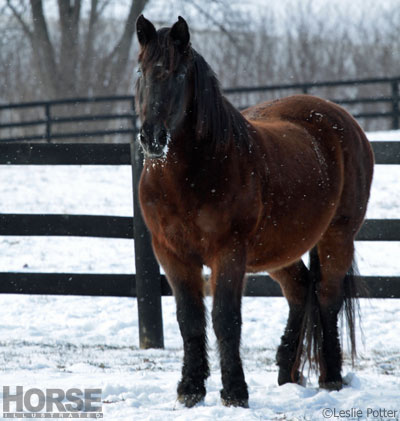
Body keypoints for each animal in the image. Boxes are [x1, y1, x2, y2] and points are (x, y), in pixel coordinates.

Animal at [134, 16, 376, 406]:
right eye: (140, 71)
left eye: (179, 73)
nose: (152, 138)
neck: (190, 175)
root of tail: (343, 120)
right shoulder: (171, 254)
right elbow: (190, 319)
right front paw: (190, 389)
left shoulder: (229, 253)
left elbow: (225, 318)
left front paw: (234, 392)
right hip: (279, 250)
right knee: (300, 290)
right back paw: (286, 374)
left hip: (337, 237)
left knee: (327, 298)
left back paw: (331, 378)